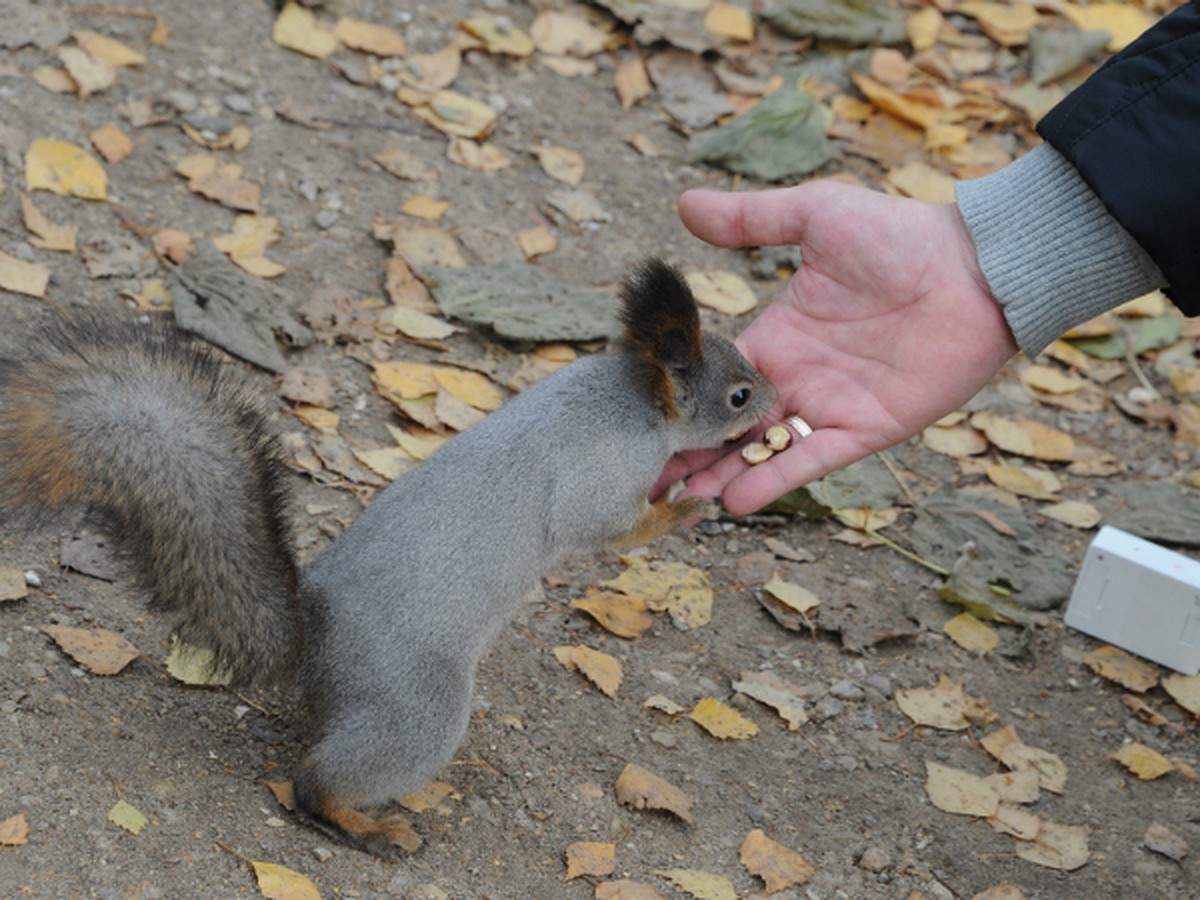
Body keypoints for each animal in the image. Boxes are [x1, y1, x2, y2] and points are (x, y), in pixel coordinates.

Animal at [0, 256, 772, 854]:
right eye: (739, 394)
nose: (774, 399)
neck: (630, 398)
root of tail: (313, 642)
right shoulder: (599, 474)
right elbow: (607, 527)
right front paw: (681, 506)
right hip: (416, 705)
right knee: (315, 782)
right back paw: (366, 826)